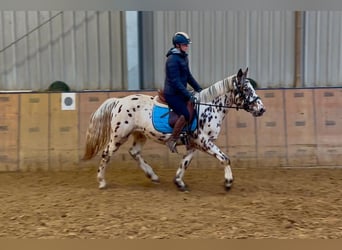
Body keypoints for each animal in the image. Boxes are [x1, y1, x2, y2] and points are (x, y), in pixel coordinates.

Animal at [84, 67, 266, 190]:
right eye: (246, 89)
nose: (262, 109)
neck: (209, 107)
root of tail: (119, 101)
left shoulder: (195, 144)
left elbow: (185, 162)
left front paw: (179, 182)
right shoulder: (204, 141)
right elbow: (225, 158)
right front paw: (228, 182)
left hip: (140, 134)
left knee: (134, 152)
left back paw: (153, 176)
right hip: (119, 135)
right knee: (106, 154)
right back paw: (102, 182)